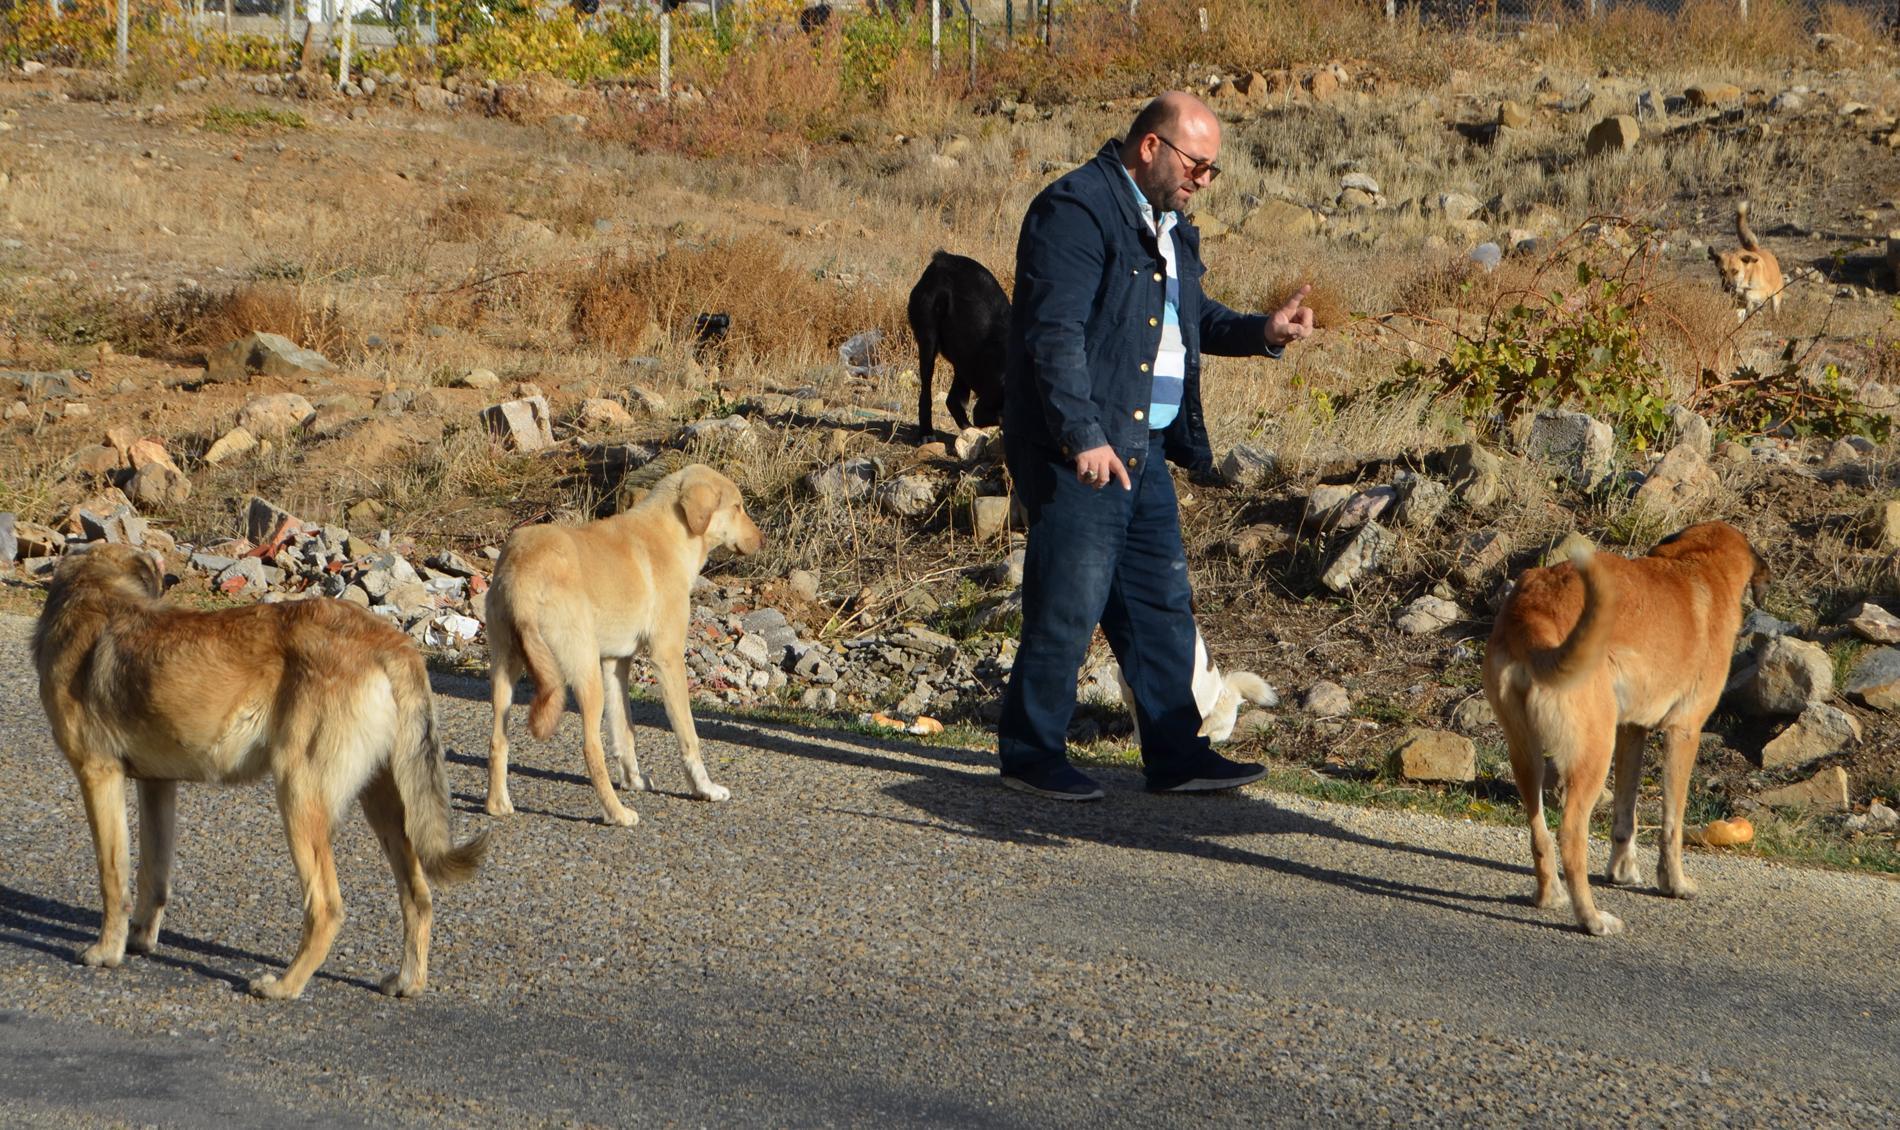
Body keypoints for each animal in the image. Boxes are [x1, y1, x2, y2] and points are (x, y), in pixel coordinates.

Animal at [32, 546, 486, 1002]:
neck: (95, 588)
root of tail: (391, 642)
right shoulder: (157, 786)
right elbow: (153, 875)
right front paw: (139, 939)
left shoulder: (98, 775)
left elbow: (112, 877)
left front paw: (106, 952)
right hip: (385, 810)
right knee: (417, 896)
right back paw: (408, 981)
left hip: (299, 799)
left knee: (326, 908)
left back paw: (284, 986)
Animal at [482, 463, 763, 828]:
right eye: (738, 506)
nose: (763, 539)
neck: (671, 532)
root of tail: (522, 574)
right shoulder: (668, 658)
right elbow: (689, 736)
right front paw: (705, 789)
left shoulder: (616, 662)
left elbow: (624, 731)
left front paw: (634, 780)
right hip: (585, 673)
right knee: (590, 748)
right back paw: (616, 813)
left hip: (505, 669)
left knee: (497, 740)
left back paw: (497, 805)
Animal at [904, 250, 1010, 440]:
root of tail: (943, 258)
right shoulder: (984, 407)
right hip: (928, 338)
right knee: (926, 392)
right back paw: (926, 433)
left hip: (964, 358)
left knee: (952, 400)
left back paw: (968, 431)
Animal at [1482, 520, 1763, 938]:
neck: (1699, 564)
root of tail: (1531, 614)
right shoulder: (1683, 733)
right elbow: (1671, 826)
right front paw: (1674, 883)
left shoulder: (1632, 731)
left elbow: (1625, 817)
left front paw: (1622, 871)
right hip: (1594, 753)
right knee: (1570, 837)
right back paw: (1591, 918)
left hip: (1526, 756)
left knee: (1539, 832)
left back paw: (1549, 896)